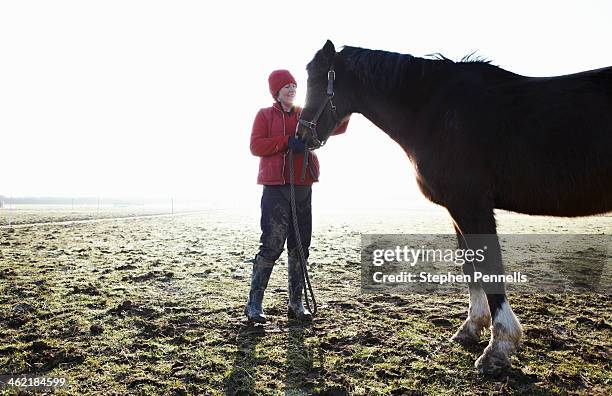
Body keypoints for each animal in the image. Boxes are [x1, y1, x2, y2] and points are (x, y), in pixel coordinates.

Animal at [298, 40, 612, 374]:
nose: (301, 136)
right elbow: (470, 266)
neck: (435, 110)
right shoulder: (457, 210)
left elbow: (489, 267)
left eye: (316, 79)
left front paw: (498, 348)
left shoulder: (472, 206)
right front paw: (472, 327)